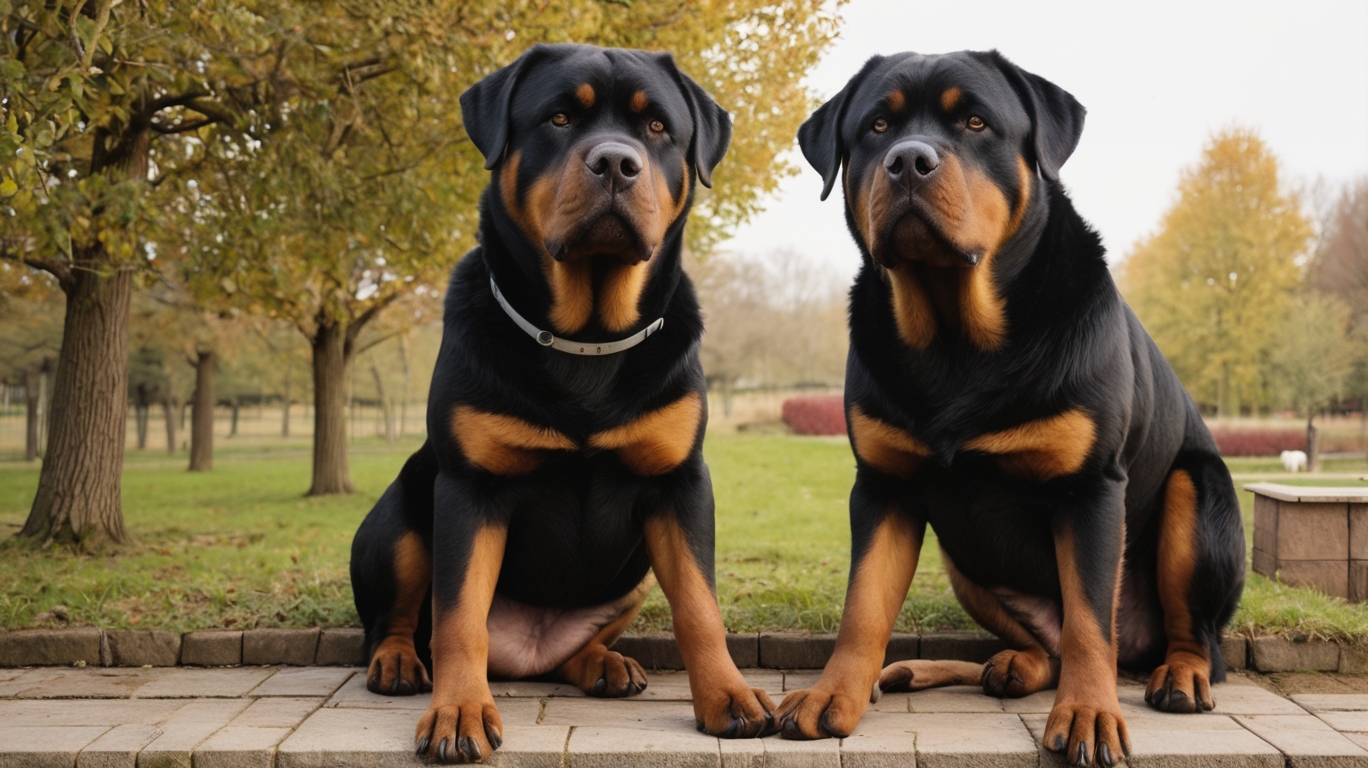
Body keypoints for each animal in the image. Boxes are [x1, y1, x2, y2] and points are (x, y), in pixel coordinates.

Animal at [352, 44, 777, 761]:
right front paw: (458, 712)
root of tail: (525, 653)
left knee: (579, 645)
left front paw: (728, 696)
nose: (616, 162)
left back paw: (603, 663)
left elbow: (699, 606)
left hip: (632, 575)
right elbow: (458, 616)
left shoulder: (680, 484)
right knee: (402, 615)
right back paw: (397, 661)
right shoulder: (468, 487)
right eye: (558, 118)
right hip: (404, 509)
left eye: (657, 127)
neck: (588, 339)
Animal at [777, 50, 1247, 761]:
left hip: (1199, 492)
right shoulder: (884, 486)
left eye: (976, 122)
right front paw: (834, 693)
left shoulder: (1090, 488)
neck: (956, 340)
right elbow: (863, 608)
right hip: (963, 559)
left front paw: (1088, 714)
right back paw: (987, 666)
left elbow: (1089, 622)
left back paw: (1181, 675)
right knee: (1044, 647)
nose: (908, 160)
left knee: (1188, 636)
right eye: (878, 127)